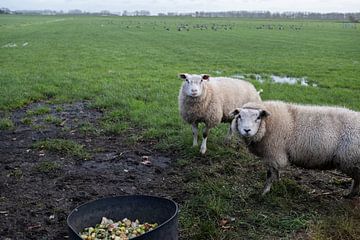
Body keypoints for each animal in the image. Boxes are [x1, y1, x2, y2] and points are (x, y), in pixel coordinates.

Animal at [231, 100, 360, 198]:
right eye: (239, 116)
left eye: (258, 117)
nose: (247, 130)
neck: (268, 125)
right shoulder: (275, 156)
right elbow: (276, 172)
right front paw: (277, 184)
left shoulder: (274, 154)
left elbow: (270, 175)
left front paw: (264, 192)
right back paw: (350, 195)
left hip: (351, 160)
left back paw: (350, 194)